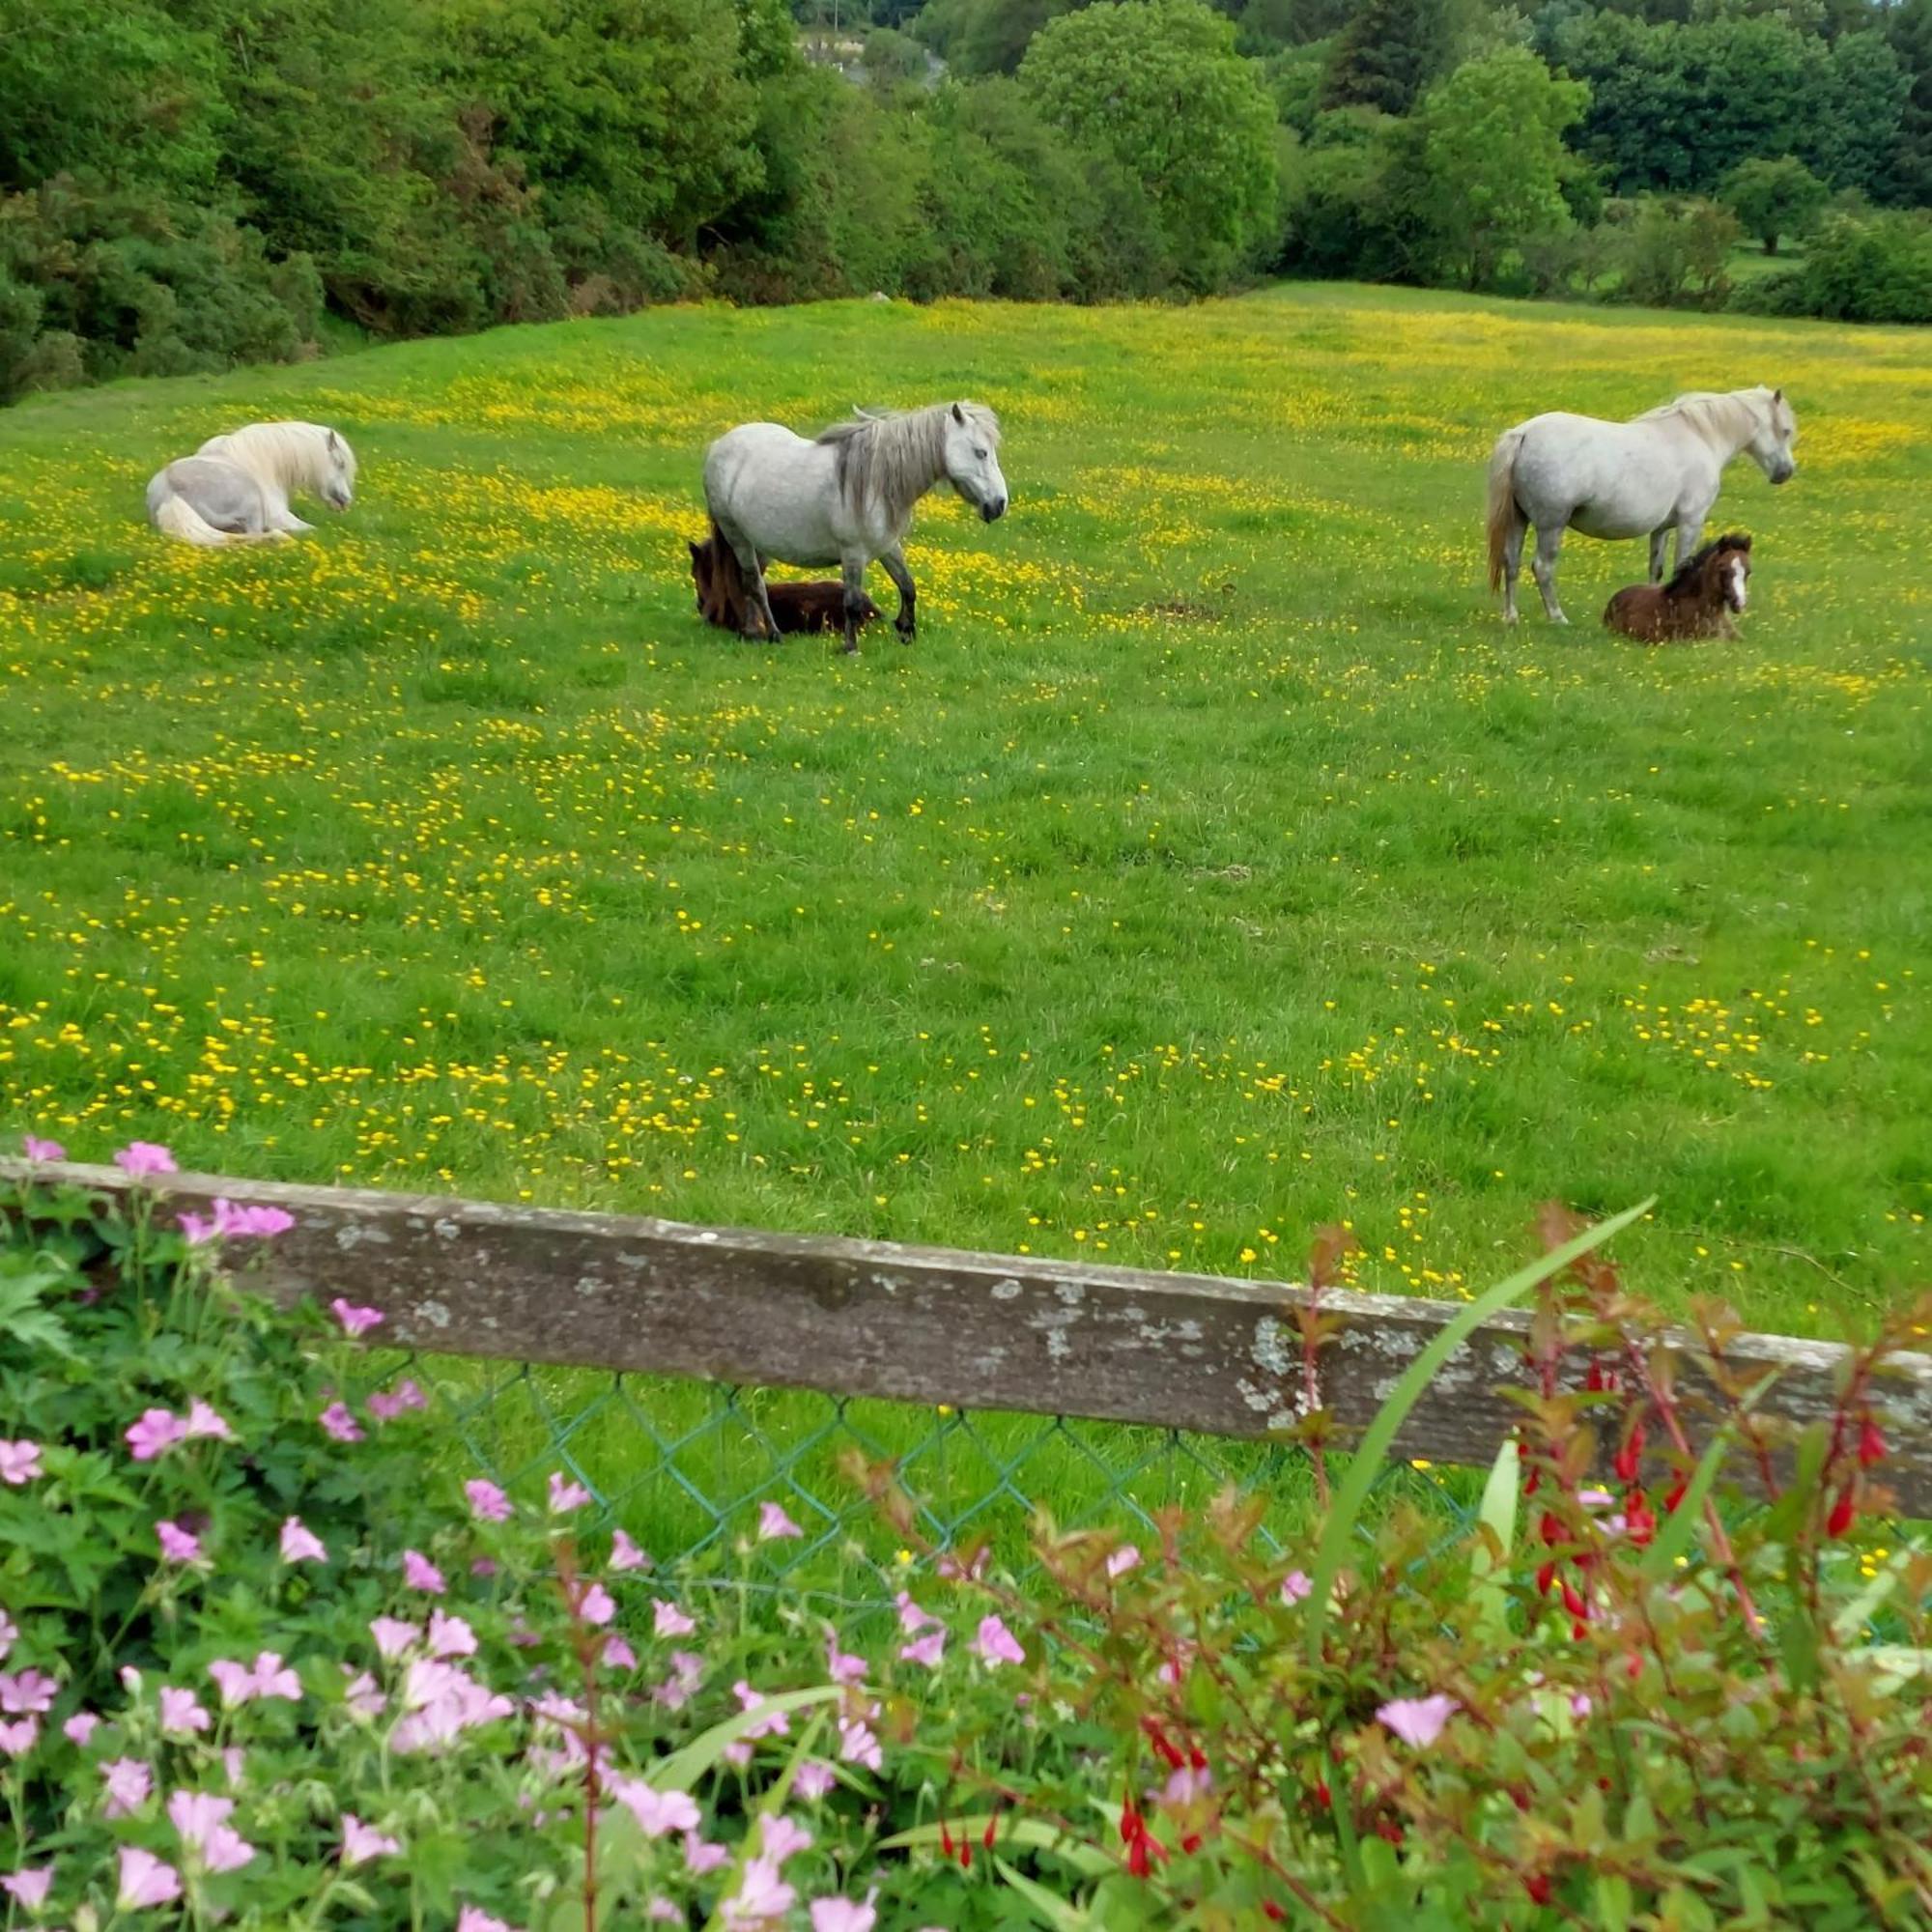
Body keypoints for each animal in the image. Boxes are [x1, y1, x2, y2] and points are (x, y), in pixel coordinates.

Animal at [147, 419, 359, 549]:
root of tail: (170, 494)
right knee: (253, 535)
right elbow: (313, 529)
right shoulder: (279, 517)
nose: (346, 500)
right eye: (341, 464)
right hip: (253, 504)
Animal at [711, 400, 1012, 657]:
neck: (875, 482)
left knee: (752, 583)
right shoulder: (853, 553)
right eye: (981, 452)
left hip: (758, 541)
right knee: (754, 583)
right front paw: (851, 648)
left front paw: (907, 632)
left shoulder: (889, 546)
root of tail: (719, 444)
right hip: (737, 537)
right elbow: (852, 603)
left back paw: (754, 631)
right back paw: (769, 634)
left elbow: (907, 586)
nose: (999, 504)